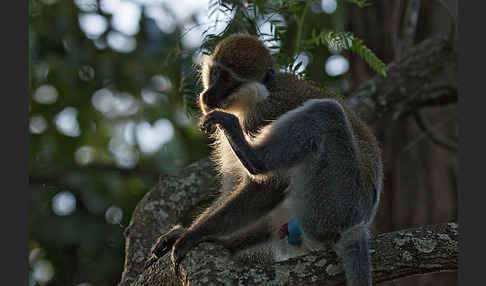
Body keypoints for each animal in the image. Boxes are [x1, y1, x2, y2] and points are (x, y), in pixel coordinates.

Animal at [145, 34, 384, 286]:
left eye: (228, 80)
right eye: (216, 74)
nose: (208, 95)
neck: (256, 97)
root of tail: (358, 223)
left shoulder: (261, 116)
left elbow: (267, 187)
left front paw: (193, 234)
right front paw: (183, 233)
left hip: (337, 196)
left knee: (327, 113)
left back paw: (253, 158)